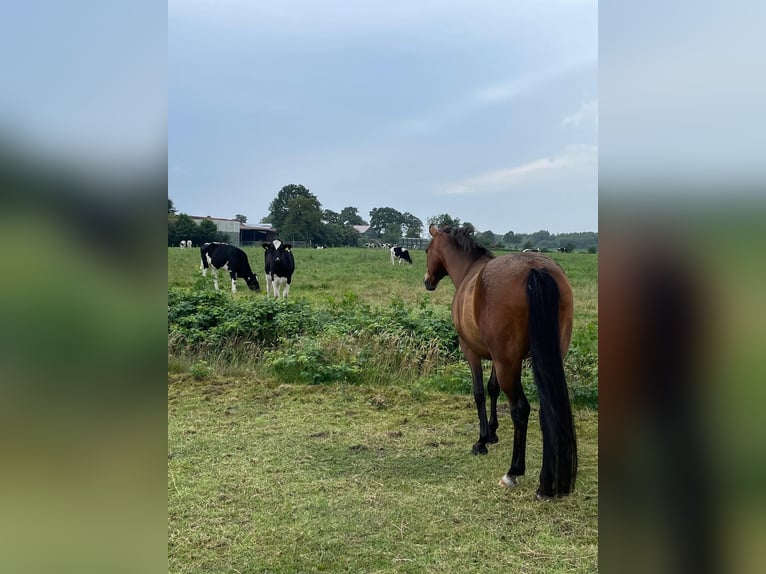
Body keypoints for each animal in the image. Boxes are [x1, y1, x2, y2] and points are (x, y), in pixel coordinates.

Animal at [423, 224, 577, 499]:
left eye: (427, 250)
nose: (427, 281)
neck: (470, 272)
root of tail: (535, 268)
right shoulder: (496, 358)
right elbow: (492, 388)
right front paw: (493, 433)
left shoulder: (472, 351)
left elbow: (479, 392)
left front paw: (482, 440)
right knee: (547, 410)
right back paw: (547, 482)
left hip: (509, 365)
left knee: (521, 410)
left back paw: (514, 472)